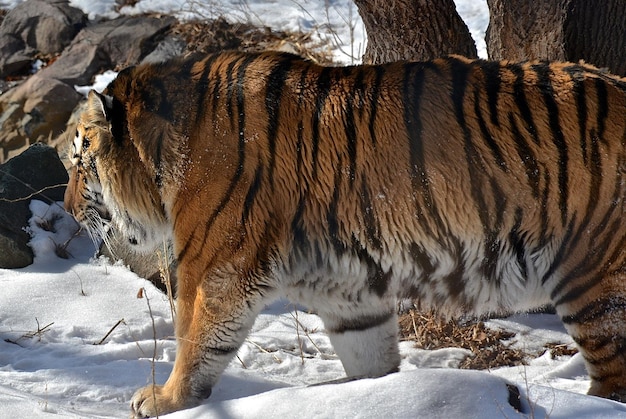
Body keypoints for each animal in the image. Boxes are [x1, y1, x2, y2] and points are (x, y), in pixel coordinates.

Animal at [62, 50, 624, 418]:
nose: (67, 208)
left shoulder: (215, 262)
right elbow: (369, 357)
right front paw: (370, 400)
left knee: (613, 377)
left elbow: (195, 338)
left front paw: (164, 399)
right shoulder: (349, 288)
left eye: (78, 161)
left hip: (595, 278)